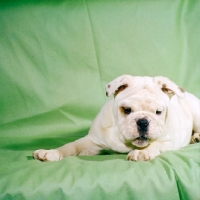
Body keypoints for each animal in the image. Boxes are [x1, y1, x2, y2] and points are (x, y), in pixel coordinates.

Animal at [33, 75, 200, 161]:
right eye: (126, 110)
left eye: (158, 112)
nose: (143, 122)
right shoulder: (92, 141)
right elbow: (71, 146)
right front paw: (51, 152)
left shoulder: (168, 142)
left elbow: (154, 144)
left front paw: (140, 152)